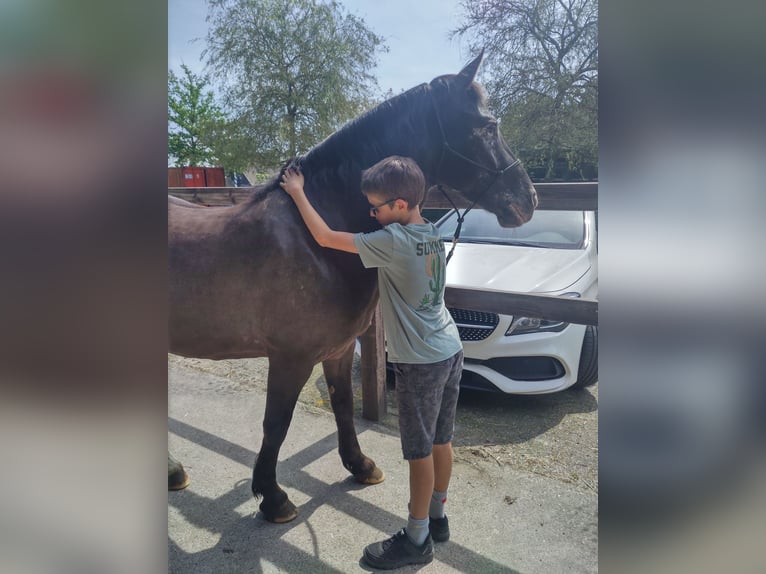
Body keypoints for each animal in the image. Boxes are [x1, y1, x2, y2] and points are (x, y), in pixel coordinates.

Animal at [168, 54, 540, 528]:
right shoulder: (290, 357)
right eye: (488, 127)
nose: (528, 199)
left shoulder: (340, 349)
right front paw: (273, 498)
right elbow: (276, 423)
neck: (314, 239)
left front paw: (360, 465)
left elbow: (343, 405)